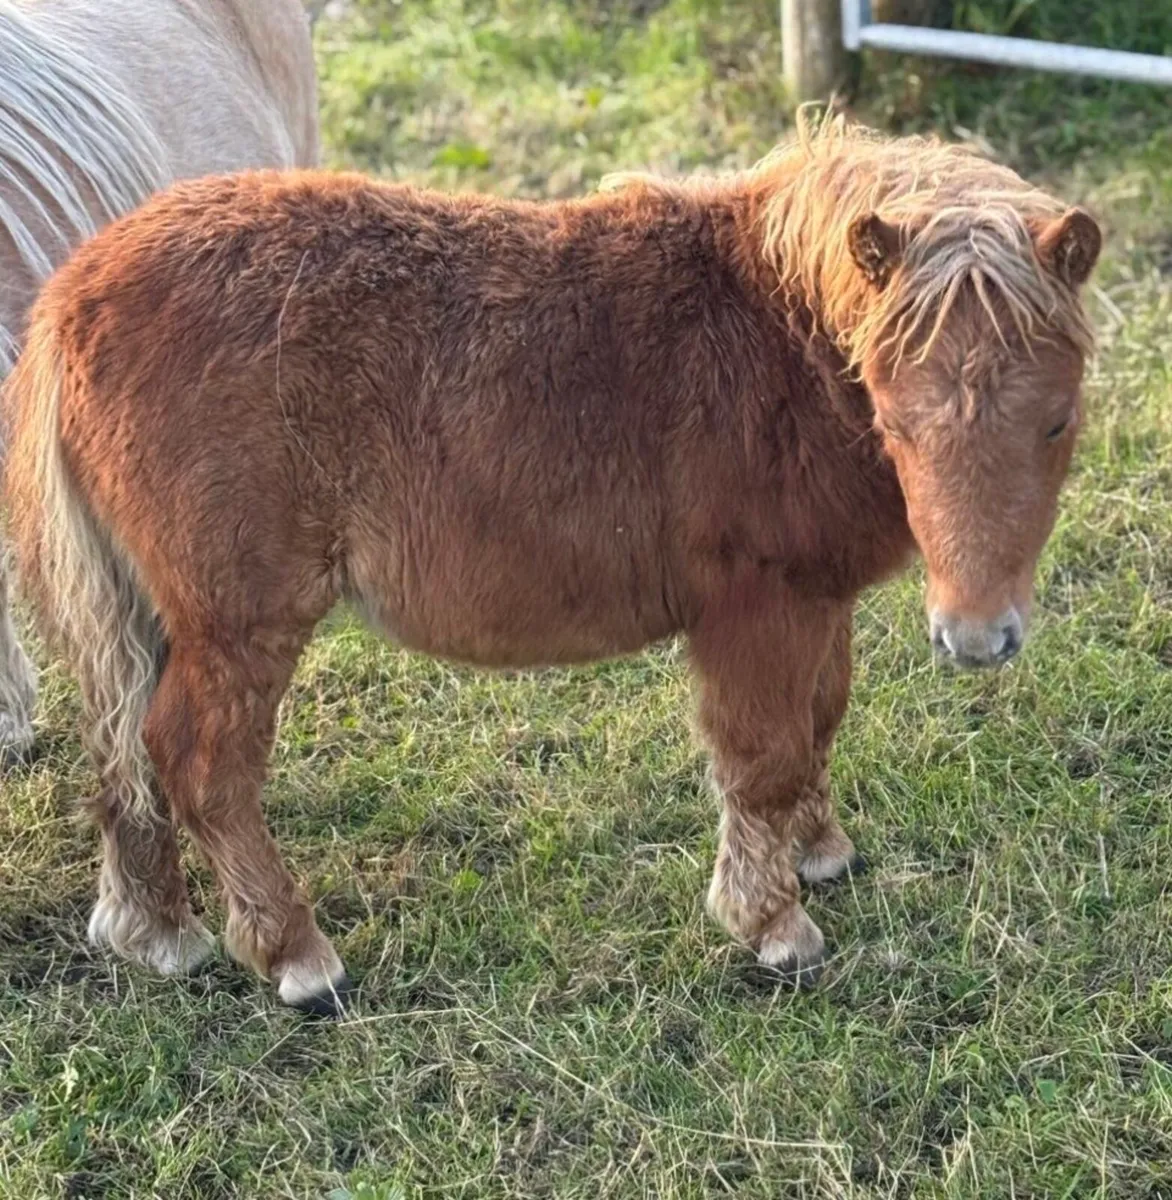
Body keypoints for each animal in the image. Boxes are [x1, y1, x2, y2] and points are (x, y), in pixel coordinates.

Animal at [2, 117, 1101, 1014]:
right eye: (894, 418)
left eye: (1055, 422)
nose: (976, 638)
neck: (777, 335)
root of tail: (71, 296)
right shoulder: (752, 611)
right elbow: (761, 759)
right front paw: (771, 924)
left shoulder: (814, 599)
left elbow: (818, 724)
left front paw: (820, 853)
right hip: (240, 623)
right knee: (200, 762)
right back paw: (294, 957)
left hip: (152, 616)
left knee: (124, 748)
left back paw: (156, 931)